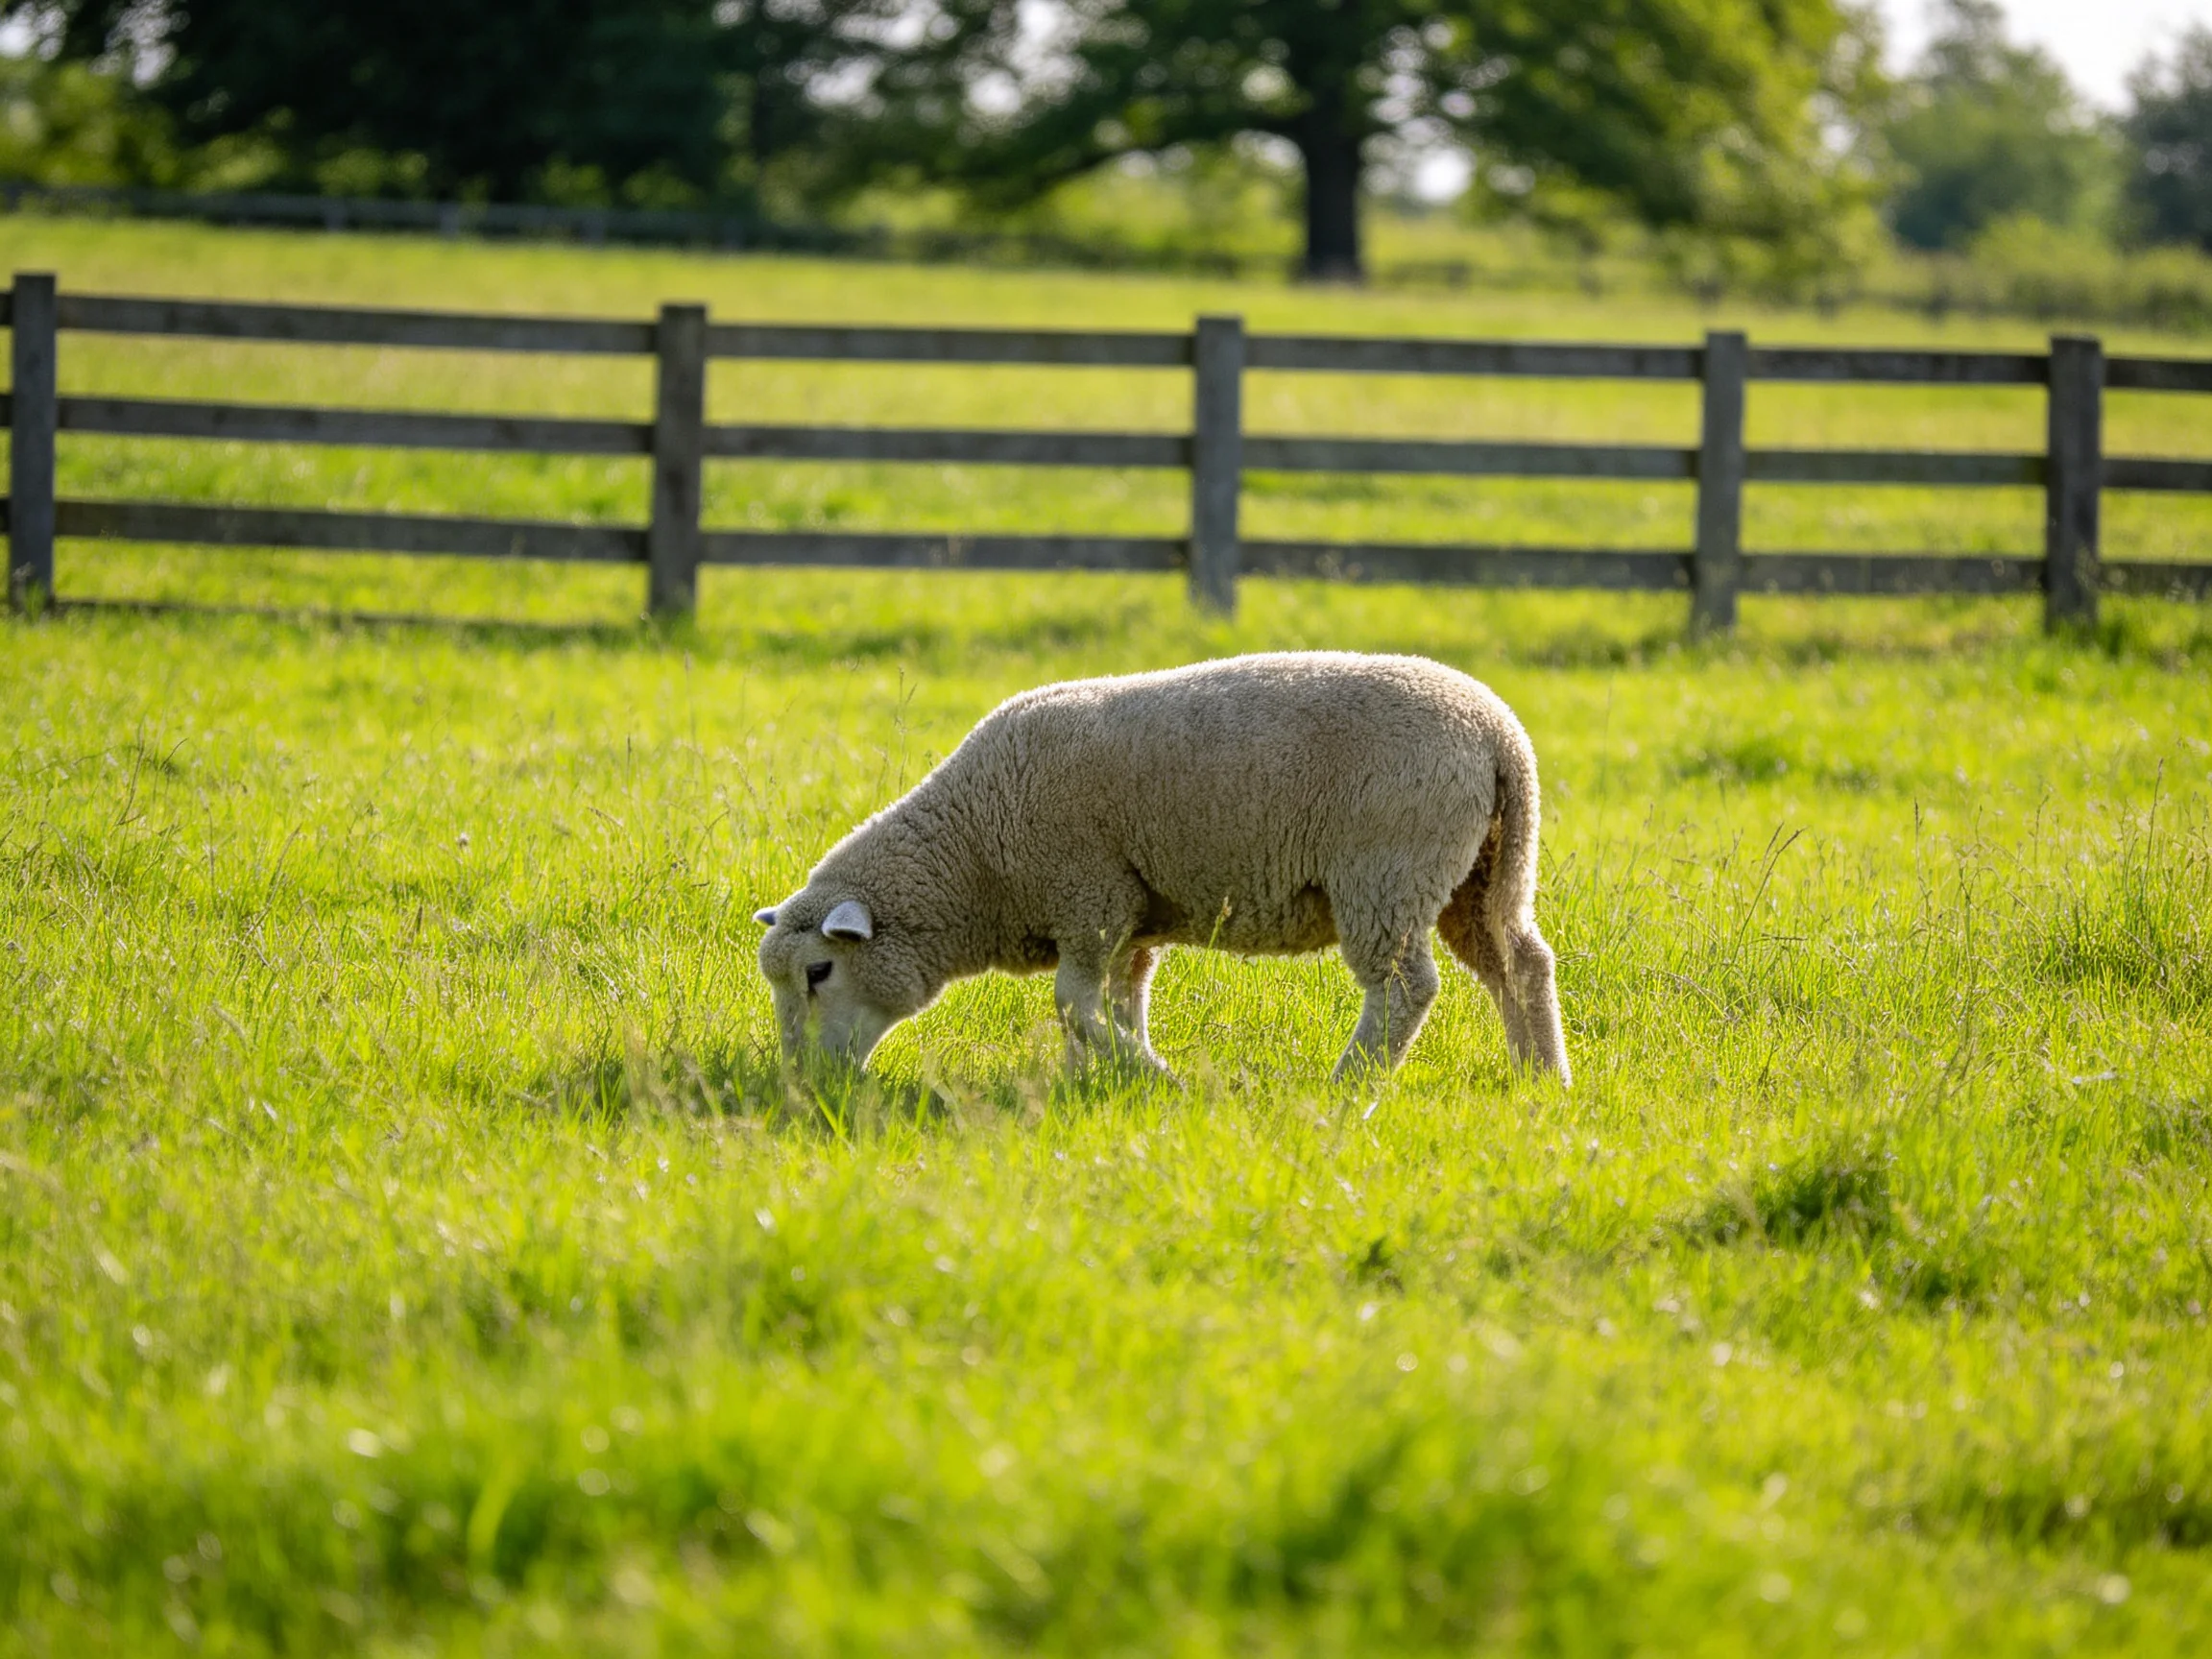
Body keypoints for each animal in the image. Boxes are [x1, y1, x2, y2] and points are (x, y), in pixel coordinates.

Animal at [753, 651, 1569, 1086]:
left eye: (819, 972)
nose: (805, 1084)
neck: (976, 853)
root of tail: (1497, 734)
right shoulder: (1131, 919)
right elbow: (1118, 1003)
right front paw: (1103, 1078)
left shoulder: (1089, 897)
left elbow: (1072, 1004)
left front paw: (1156, 1078)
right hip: (1484, 871)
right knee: (1520, 962)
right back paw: (1543, 1080)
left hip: (1387, 872)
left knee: (1405, 988)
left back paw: (1350, 1084)